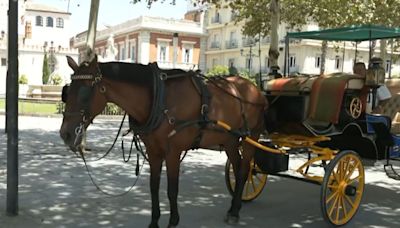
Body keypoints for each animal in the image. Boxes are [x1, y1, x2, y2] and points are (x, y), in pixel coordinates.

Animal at [59, 55, 268, 228]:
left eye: (84, 92)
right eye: (67, 91)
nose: (65, 134)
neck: (158, 98)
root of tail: (252, 88)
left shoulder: (173, 152)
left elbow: (172, 189)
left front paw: (173, 221)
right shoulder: (154, 151)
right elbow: (154, 186)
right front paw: (154, 222)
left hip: (251, 136)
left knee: (244, 170)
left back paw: (235, 211)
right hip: (230, 140)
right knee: (238, 167)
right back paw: (234, 207)